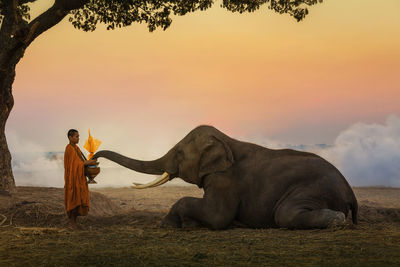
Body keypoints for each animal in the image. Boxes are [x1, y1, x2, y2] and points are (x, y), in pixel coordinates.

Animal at [92, 125, 358, 230]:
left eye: (179, 153)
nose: (94, 158)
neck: (226, 140)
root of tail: (350, 191)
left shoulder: (225, 180)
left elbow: (217, 216)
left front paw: (168, 225)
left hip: (313, 189)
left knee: (285, 214)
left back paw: (338, 220)